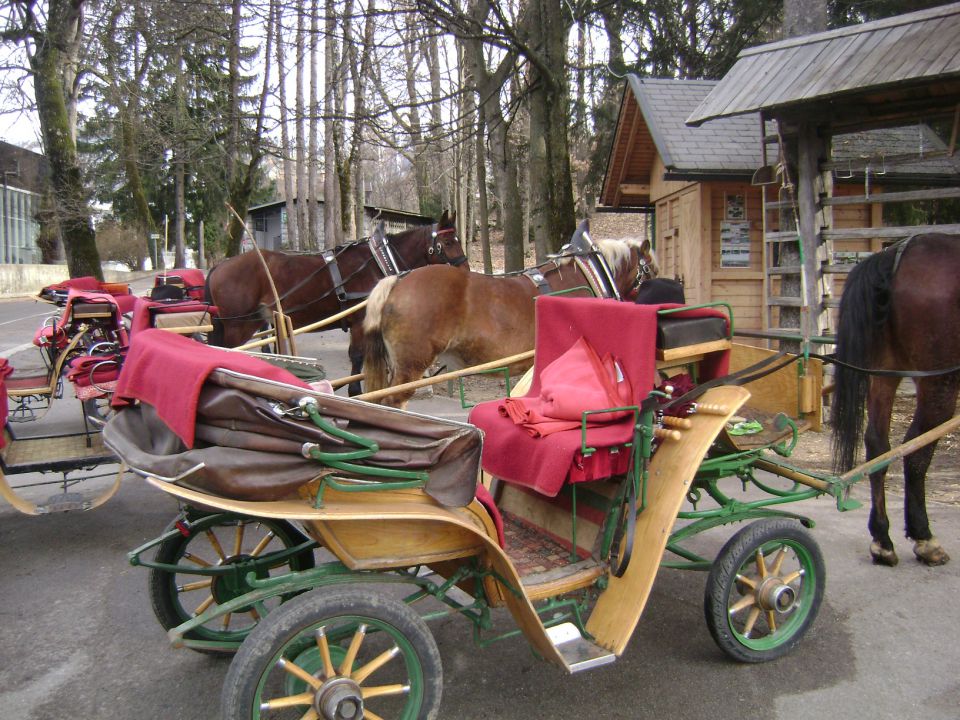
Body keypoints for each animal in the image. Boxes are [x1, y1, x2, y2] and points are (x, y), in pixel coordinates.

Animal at [206, 211, 468, 396]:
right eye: (447, 242)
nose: (465, 271)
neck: (378, 261)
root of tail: (220, 266)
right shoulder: (360, 322)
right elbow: (358, 356)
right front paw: (354, 392)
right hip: (239, 325)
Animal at [828, 233, 956, 564]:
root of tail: (898, 252)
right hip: (937, 381)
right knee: (915, 449)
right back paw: (924, 537)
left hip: (885, 371)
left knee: (878, 446)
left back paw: (882, 538)